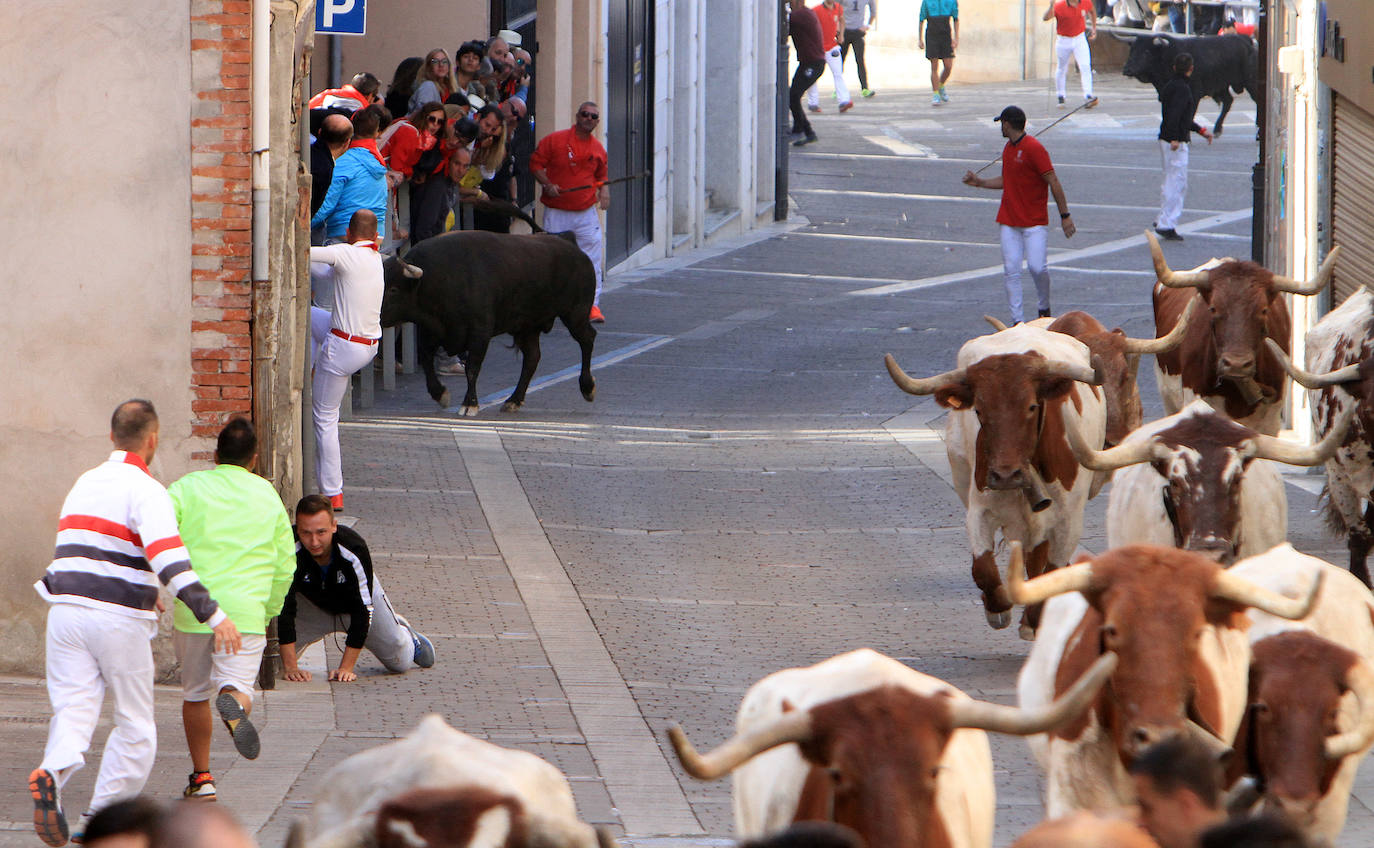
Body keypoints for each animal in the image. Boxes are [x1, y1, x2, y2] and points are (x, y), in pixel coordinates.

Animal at [381, 229, 596, 415]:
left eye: (393, 289)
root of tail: (569, 243)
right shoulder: (431, 331)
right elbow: (426, 360)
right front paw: (440, 394)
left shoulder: (480, 333)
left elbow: (472, 368)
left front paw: (469, 404)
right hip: (528, 326)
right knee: (532, 358)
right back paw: (513, 400)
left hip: (576, 314)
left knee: (587, 339)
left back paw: (587, 388)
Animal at [1126, 31, 1258, 134]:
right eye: (1131, 50)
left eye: (1146, 52)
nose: (1127, 69)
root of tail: (1246, 41)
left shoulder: (1194, 94)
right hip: (1222, 86)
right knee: (1228, 101)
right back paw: (1217, 129)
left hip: (1250, 82)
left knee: (1256, 99)